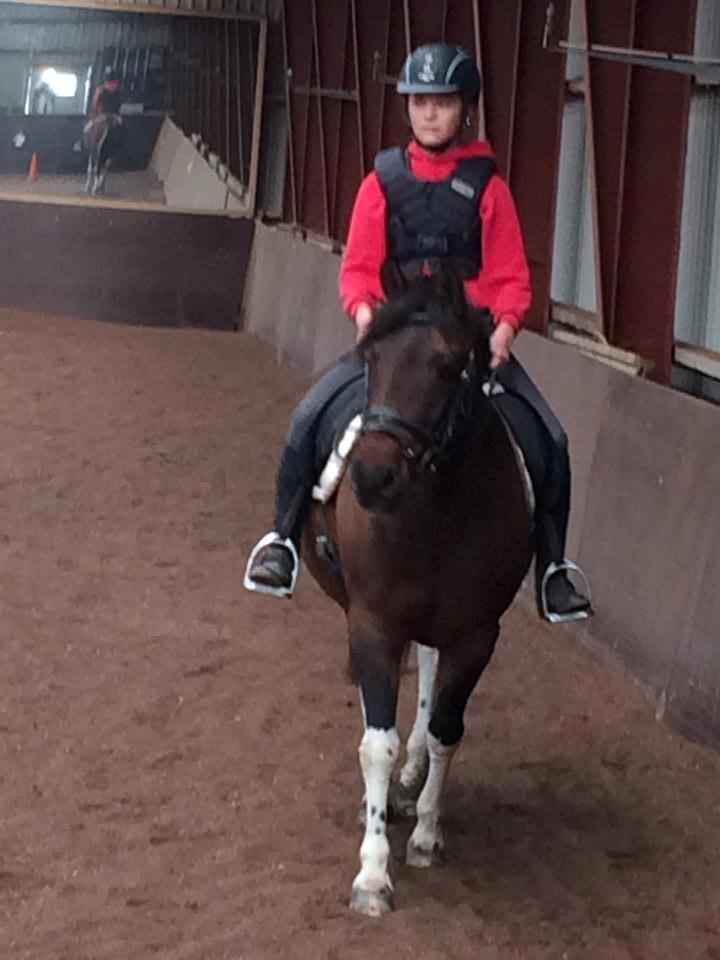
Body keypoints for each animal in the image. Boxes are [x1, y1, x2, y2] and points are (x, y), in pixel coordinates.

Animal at [304, 266, 536, 920]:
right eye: (370, 358)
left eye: (448, 366)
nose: (372, 477)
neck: (435, 513)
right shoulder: (373, 622)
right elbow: (374, 742)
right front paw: (372, 872)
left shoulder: (476, 633)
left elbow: (445, 730)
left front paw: (429, 833)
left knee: (429, 678)